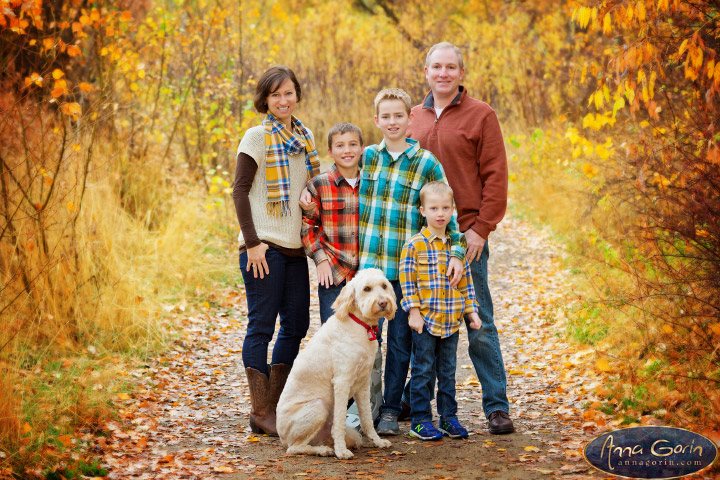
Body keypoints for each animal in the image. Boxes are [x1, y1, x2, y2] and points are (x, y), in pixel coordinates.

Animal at [278, 268, 396, 460]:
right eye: (367, 289)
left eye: (384, 286)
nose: (383, 302)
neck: (360, 325)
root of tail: (281, 437)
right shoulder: (342, 382)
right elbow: (340, 420)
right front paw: (341, 451)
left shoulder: (363, 384)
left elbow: (367, 419)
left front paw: (377, 441)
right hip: (318, 406)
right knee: (294, 448)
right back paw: (324, 450)